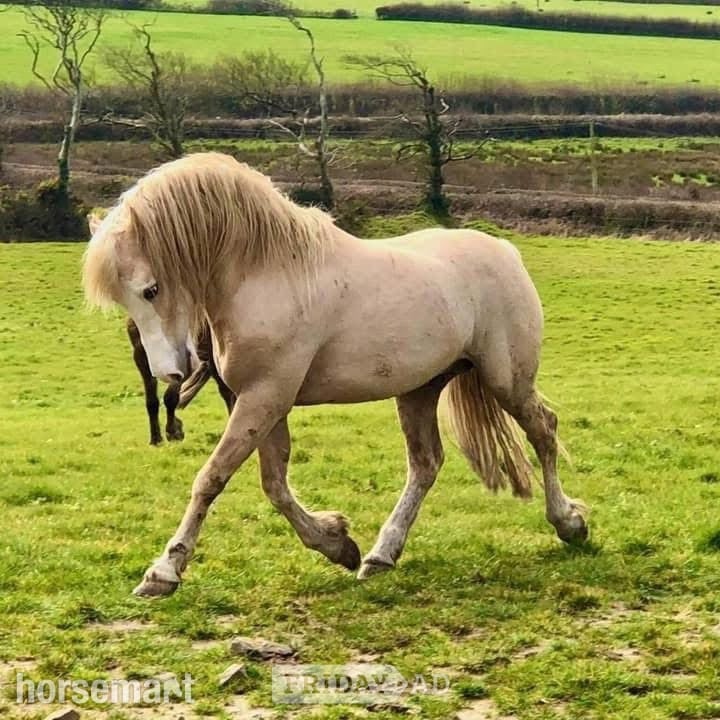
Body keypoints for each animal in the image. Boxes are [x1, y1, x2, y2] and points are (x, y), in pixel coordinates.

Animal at [82, 152, 588, 598]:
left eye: (151, 289)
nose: (169, 372)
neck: (271, 272)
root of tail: (504, 250)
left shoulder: (263, 398)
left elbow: (212, 478)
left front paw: (163, 572)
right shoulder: (264, 402)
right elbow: (274, 486)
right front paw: (337, 543)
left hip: (507, 380)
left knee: (543, 431)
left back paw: (569, 523)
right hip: (419, 389)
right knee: (425, 464)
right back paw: (381, 555)